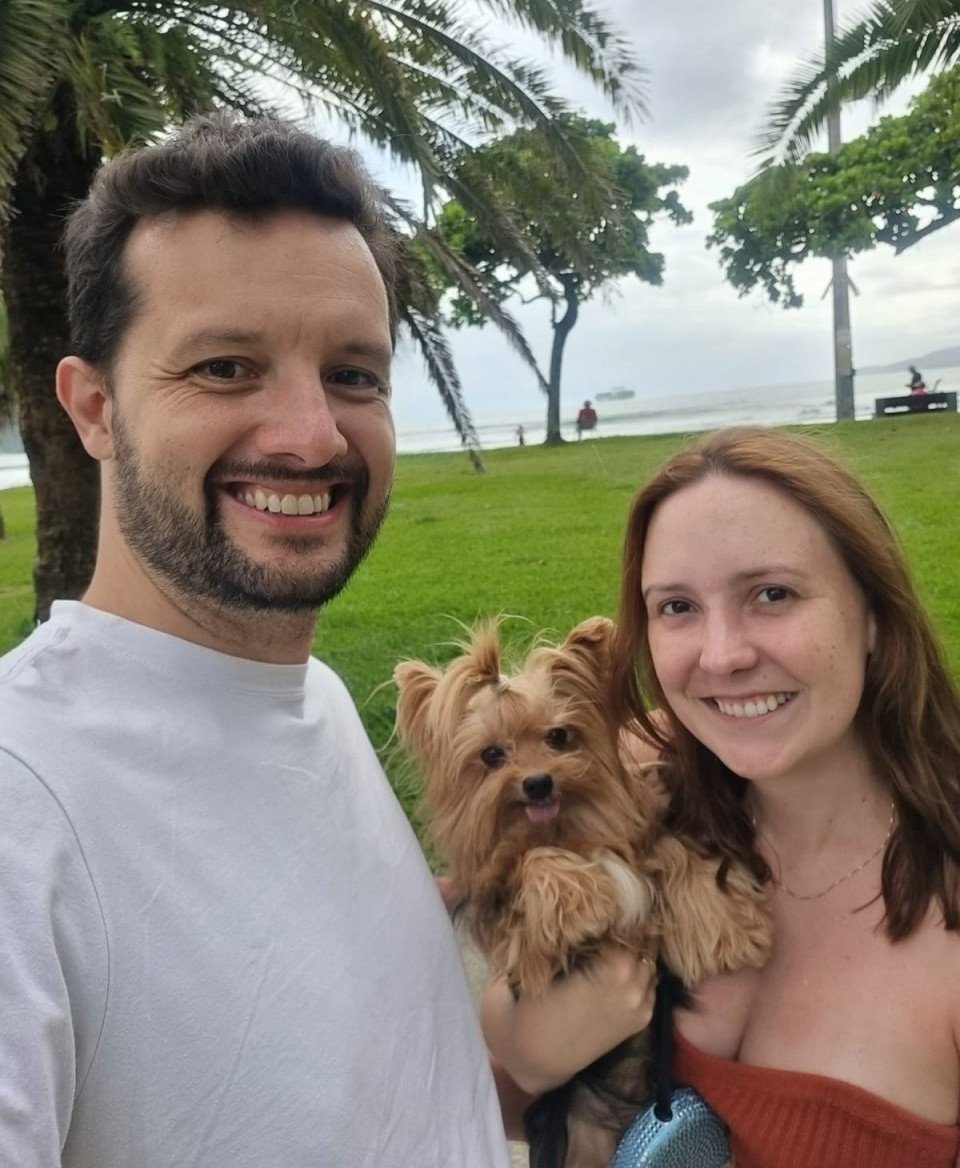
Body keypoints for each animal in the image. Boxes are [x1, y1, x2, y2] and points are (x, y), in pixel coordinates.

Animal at [394, 616, 769, 1168]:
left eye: (558, 736)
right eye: (491, 755)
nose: (537, 783)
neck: (568, 831)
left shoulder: (637, 839)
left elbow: (670, 845)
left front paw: (731, 928)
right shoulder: (525, 941)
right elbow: (530, 865)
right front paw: (580, 901)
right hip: (576, 1133)